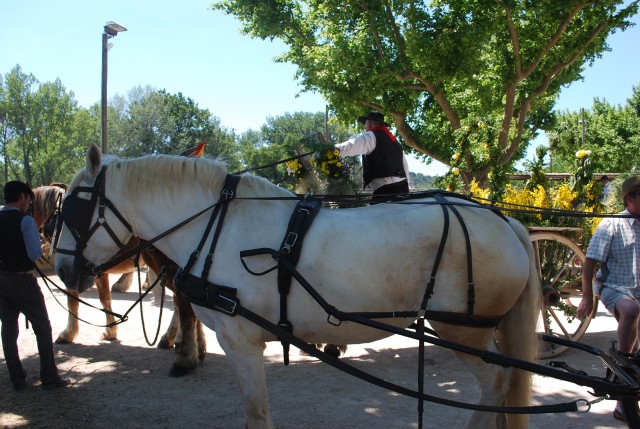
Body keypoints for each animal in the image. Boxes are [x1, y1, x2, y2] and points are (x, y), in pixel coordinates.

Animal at [56, 144, 540, 428]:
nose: (62, 270)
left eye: (74, 208)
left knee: (495, 387)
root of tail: (505, 221)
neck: (219, 226)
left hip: (462, 332)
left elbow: (256, 414)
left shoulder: (241, 341)